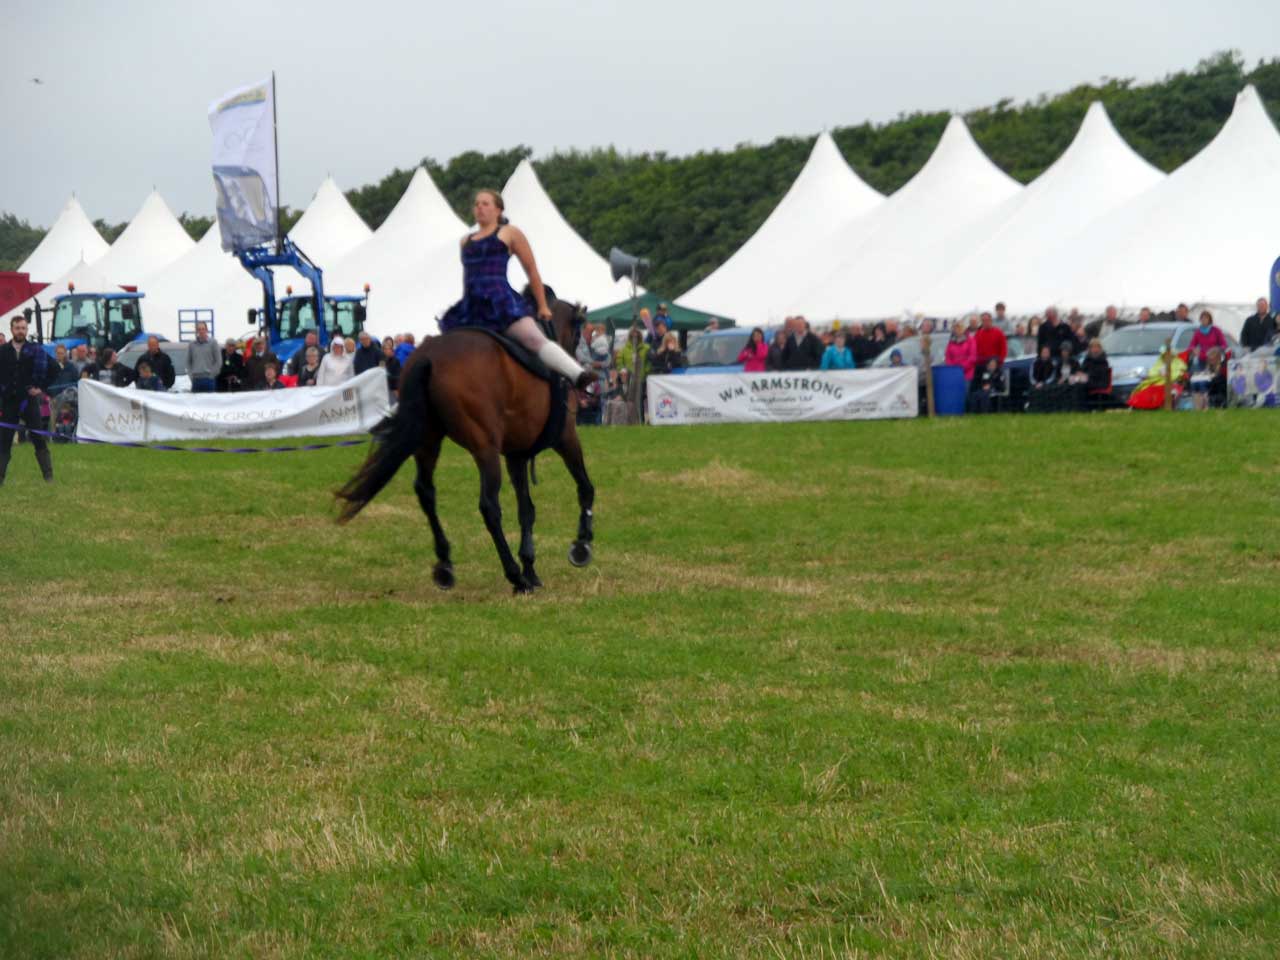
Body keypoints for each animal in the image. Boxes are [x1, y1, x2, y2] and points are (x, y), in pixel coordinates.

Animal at [340, 299, 599, 593]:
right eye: (579, 335)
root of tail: (429, 356)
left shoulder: (516, 456)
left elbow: (527, 510)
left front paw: (531, 567)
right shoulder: (566, 439)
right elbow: (585, 488)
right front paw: (581, 544)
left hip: (428, 440)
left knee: (426, 492)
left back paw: (445, 563)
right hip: (485, 448)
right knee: (489, 506)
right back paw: (513, 574)